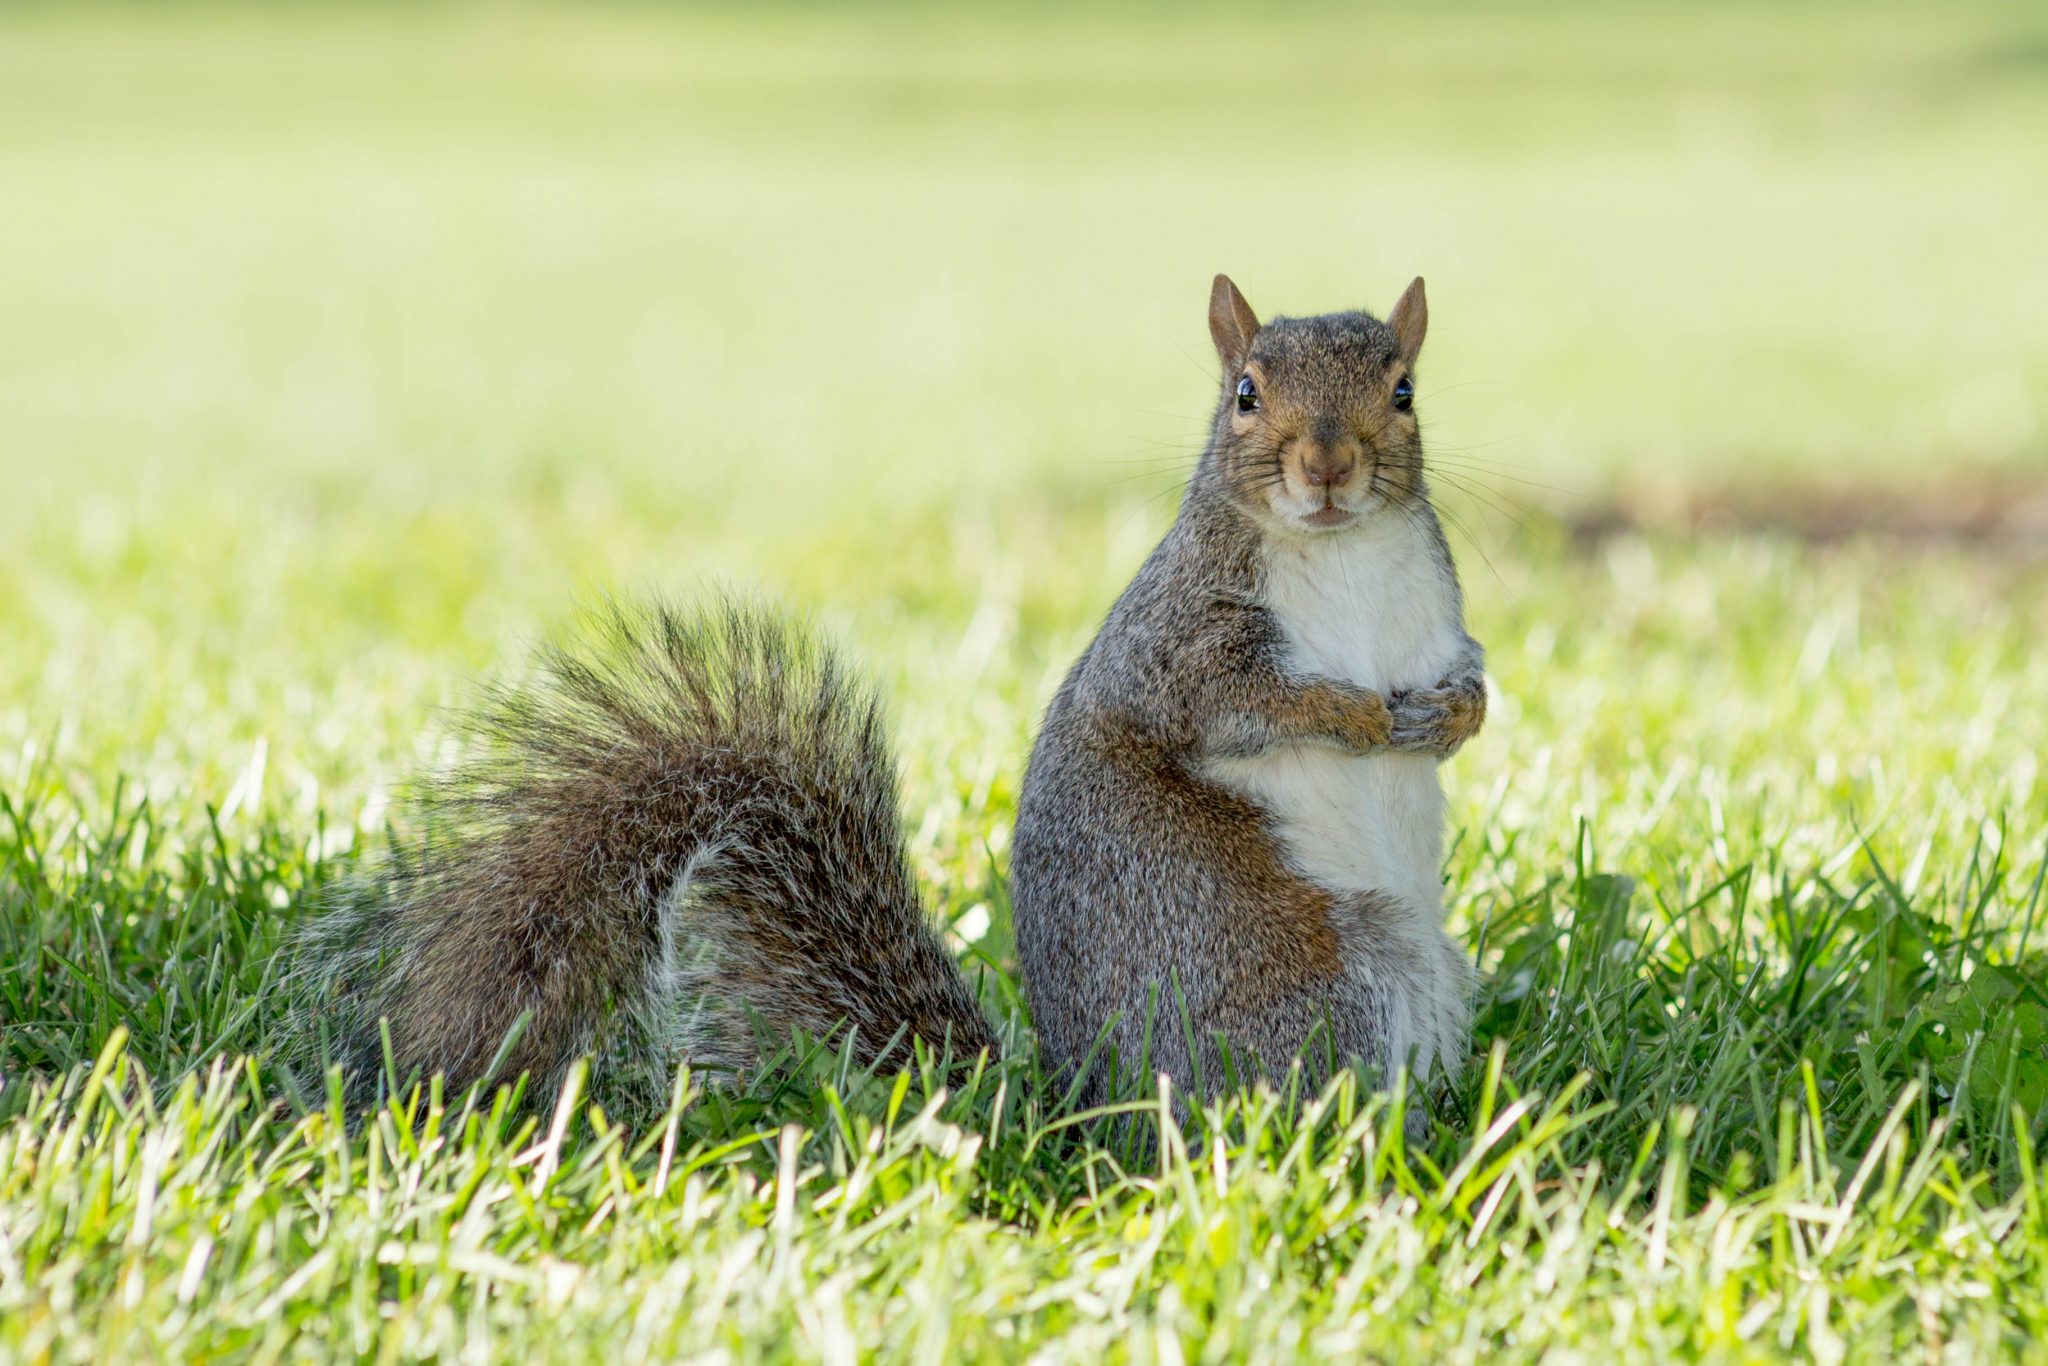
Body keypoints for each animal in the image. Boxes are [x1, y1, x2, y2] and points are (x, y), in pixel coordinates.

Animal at [292, 274, 1490, 1114]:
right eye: (1244, 395)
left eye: (1403, 391)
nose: (1326, 468)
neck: (1341, 555)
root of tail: (1081, 1111)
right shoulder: (1177, 645)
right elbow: (1235, 703)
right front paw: (1350, 713)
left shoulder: (1435, 615)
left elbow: (1468, 675)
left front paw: (1452, 716)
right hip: (1312, 976)